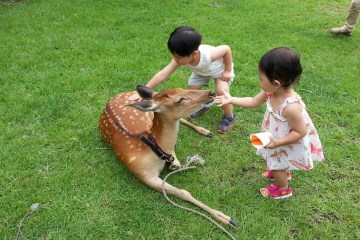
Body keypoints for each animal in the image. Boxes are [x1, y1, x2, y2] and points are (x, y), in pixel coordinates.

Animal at [99, 85, 236, 228]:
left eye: (182, 89)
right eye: (180, 99)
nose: (211, 93)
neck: (153, 149)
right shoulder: (144, 175)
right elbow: (183, 192)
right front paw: (226, 218)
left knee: (183, 119)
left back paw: (205, 131)